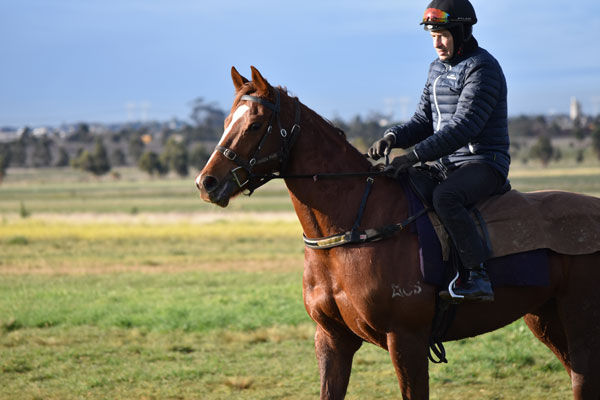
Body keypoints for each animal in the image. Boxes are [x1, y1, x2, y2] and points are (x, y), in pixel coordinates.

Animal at [196, 67, 600, 398]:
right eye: (227, 121)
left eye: (255, 125)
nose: (207, 182)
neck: (351, 230)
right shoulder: (332, 340)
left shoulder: (406, 340)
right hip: (546, 320)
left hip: (579, 325)